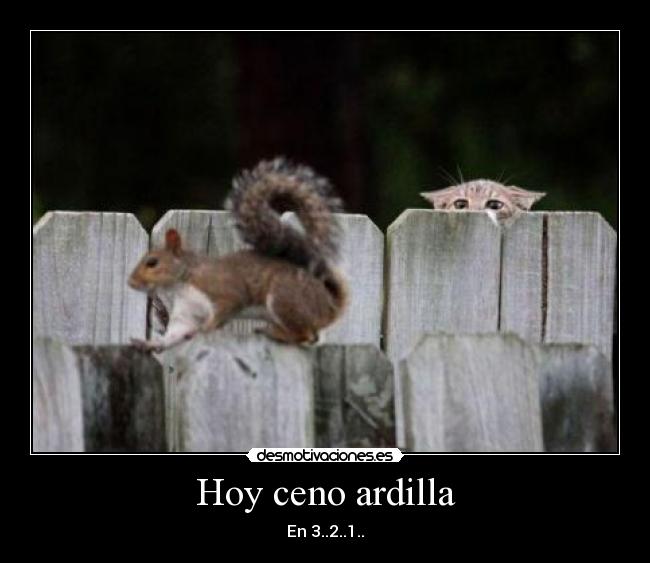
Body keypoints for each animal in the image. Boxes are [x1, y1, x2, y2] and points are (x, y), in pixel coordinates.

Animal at [128, 157, 348, 352]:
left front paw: (203, 330)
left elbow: (224, 310)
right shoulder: (187, 313)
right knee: (311, 337)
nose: (131, 283)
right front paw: (150, 344)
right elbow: (174, 334)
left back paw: (274, 333)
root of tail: (330, 305)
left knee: (305, 335)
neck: (183, 281)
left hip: (285, 298)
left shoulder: (224, 292)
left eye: (152, 262)